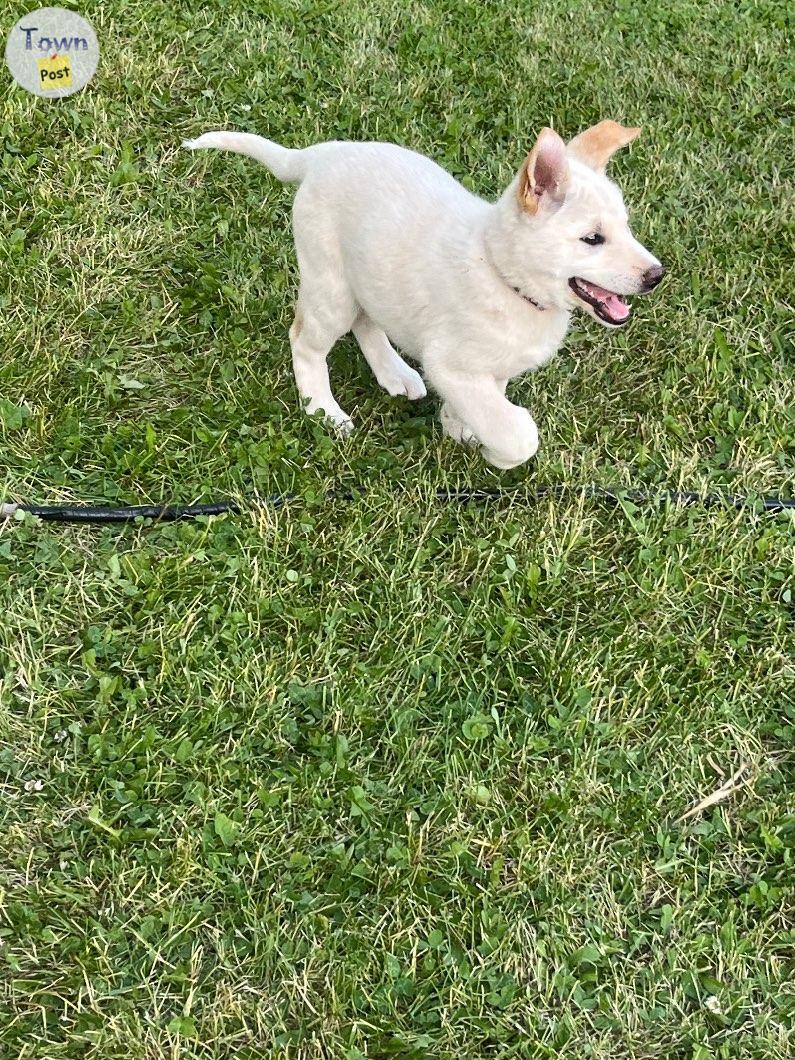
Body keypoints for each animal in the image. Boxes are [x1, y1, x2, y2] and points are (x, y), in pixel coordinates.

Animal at [183, 121, 661, 468]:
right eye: (593, 239)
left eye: (626, 227)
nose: (656, 275)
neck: (503, 275)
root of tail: (323, 154)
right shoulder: (450, 364)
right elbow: (516, 433)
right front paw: (497, 446)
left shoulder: (490, 367)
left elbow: (488, 400)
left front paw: (458, 423)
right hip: (330, 286)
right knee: (304, 340)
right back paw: (323, 409)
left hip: (368, 274)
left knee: (367, 321)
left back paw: (394, 373)